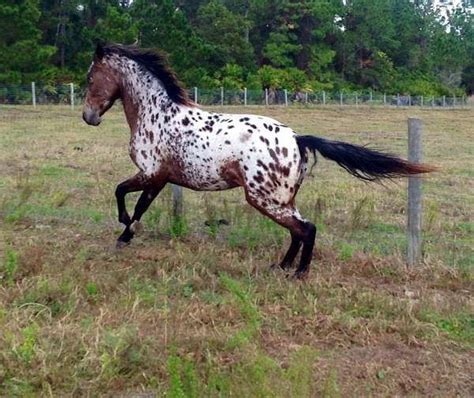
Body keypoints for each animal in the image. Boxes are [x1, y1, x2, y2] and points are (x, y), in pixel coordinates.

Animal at [83, 43, 436, 278]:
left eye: (90, 78)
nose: (88, 117)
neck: (158, 115)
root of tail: (297, 138)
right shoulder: (159, 178)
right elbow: (134, 201)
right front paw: (126, 232)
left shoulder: (152, 174)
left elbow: (126, 196)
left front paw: (124, 233)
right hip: (281, 198)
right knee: (299, 230)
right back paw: (281, 266)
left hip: (265, 198)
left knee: (307, 228)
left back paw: (298, 274)